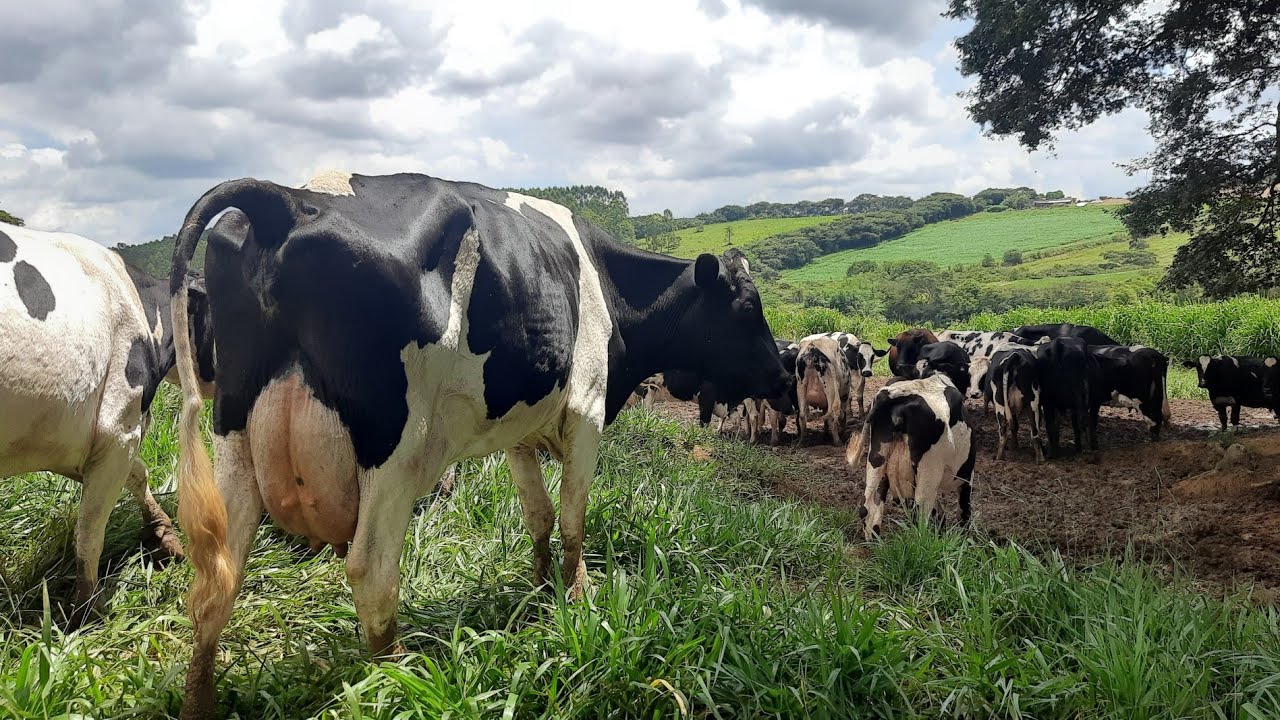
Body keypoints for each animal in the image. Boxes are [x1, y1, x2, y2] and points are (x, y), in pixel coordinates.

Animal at [0, 226, 215, 624]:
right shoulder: (118, 428)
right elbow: (89, 531)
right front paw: (83, 612)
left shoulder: (74, 441)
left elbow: (138, 473)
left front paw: (164, 535)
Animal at [165, 171, 790, 720]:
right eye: (747, 308)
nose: (784, 376)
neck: (610, 289)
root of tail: (290, 199)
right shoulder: (587, 414)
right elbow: (573, 522)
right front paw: (578, 596)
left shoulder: (516, 431)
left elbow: (539, 515)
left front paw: (541, 591)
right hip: (394, 451)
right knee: (371, 570)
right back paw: (399, 675)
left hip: (234, 439)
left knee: (215, 582)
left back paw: (200, 701)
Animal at [846, 373, 975, 540]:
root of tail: (895, 394)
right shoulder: (967, 478)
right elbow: (963, 512)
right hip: (928, 474)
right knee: (920, 519)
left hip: (877, 462)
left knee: (868, 510)